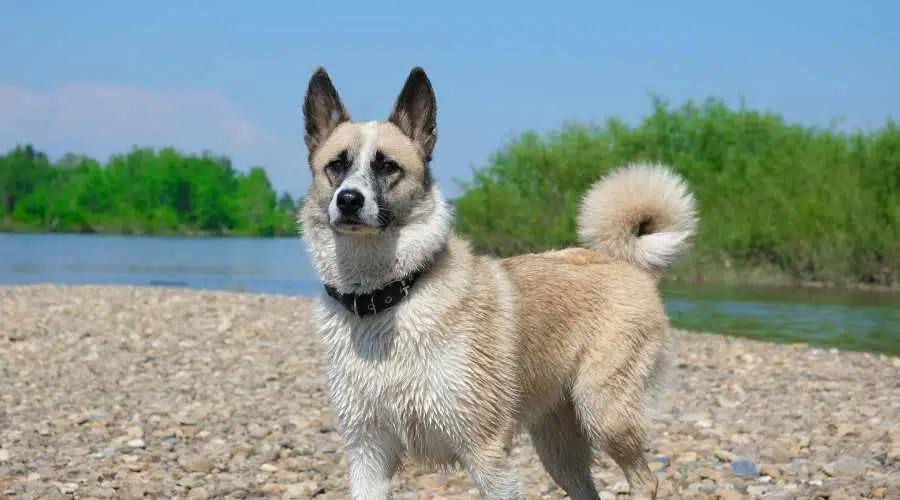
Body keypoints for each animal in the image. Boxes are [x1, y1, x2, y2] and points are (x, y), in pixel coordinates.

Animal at [298, 64, 700, 498]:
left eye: (387, 166)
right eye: (336, 165)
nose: (349, 200)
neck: (388, 296)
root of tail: (626, 262)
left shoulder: (486, 453)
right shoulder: (367, 453)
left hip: (605, 413)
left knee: (646, 480)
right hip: (557, 444)